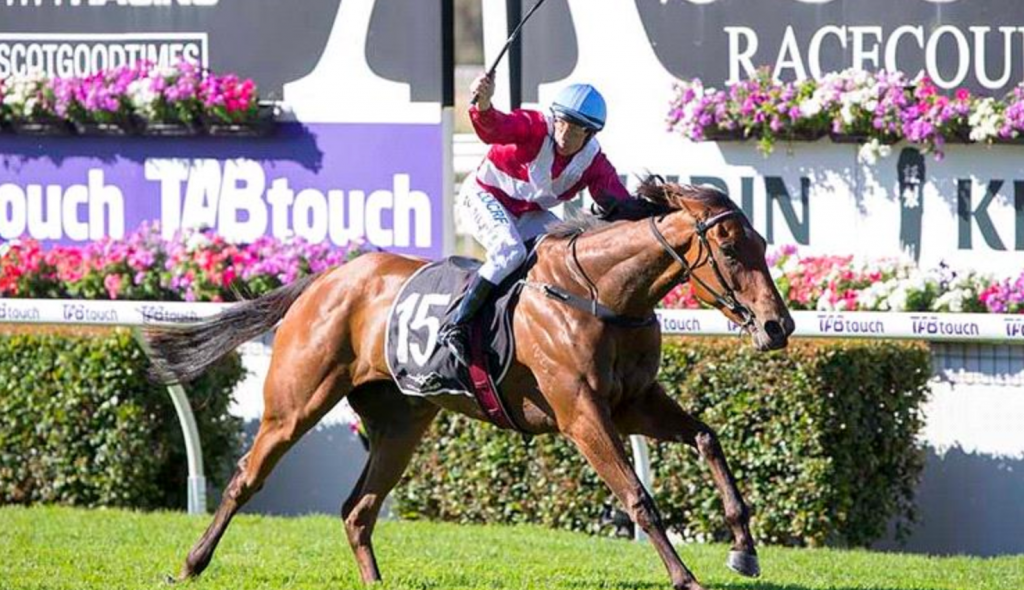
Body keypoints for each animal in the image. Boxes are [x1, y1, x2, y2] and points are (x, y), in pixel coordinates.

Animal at [144, 178, 794, 590]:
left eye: (762, 244)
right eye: (730, 249)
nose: (778, 325)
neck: (600, 294)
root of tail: (327, 278)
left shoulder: (634, 403)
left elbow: (707, 438)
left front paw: (743, 547)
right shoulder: (581, 413)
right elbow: (638, 497)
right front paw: (686, 577)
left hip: (402, 423)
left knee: (358, 509)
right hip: (294, 404)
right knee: (245, 481)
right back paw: (191, 563)